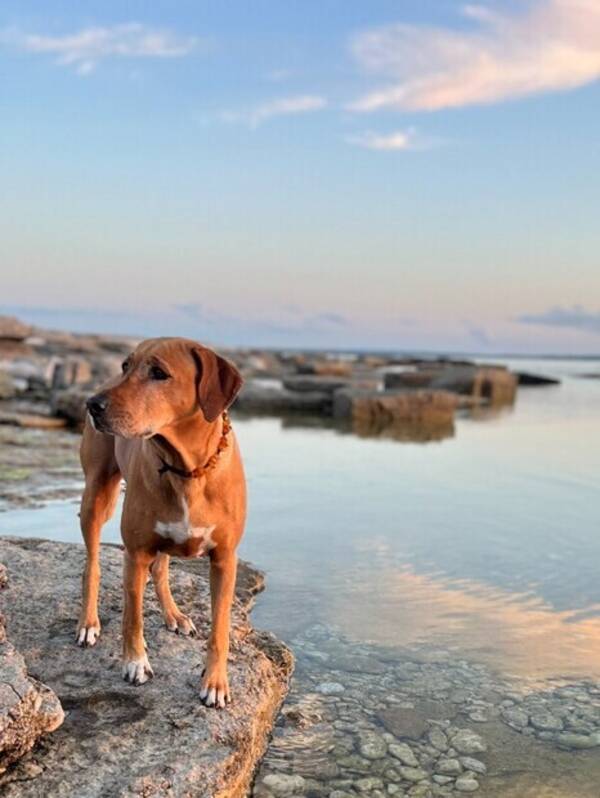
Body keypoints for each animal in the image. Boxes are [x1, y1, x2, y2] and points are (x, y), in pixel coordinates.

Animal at [78, 334, 246, 708]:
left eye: (159, 373)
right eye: (126, 366)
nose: (92, 405)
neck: (187, 469)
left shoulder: (225, 559)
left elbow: (220, 629)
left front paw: (215, 682)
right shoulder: (135, 552)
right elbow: (132, 616)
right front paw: (135, 663)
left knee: (162, 569)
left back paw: (174, 615)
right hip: (96, 494)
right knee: (93, 564)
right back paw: (88, 621)